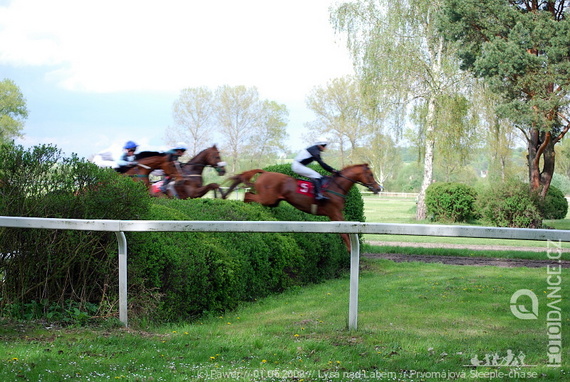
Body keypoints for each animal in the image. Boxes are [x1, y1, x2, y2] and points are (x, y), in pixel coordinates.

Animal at [222, 164, 382, 251]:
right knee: (247, 195)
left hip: (272, 201)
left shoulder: (338, 214)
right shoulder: (334, 214)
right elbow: (344, 234)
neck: (335, 186)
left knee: (250, 195)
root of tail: (265, 172)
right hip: (267, 198)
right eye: (370, 174)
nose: (378, 188)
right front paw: (349, 248)